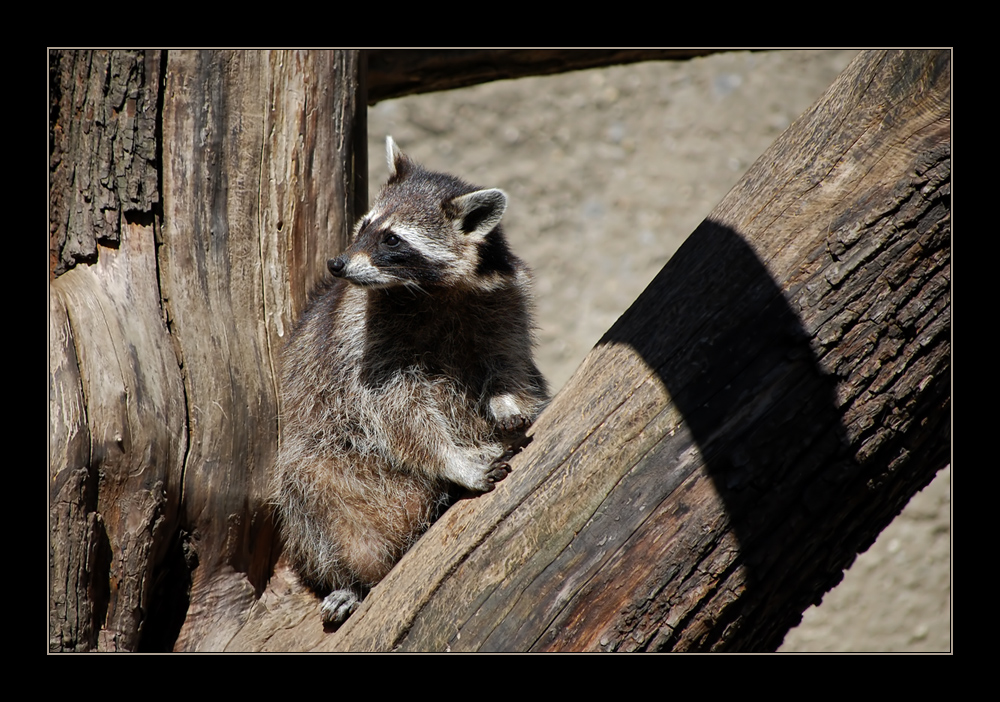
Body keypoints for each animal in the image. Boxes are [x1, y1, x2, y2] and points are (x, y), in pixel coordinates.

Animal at [274, 138, 548, 628]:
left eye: (392, 239)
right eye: (364, 225)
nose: (336, 263)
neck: (433, 291)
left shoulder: (505, 299)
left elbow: (511, 362)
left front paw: (508, 402)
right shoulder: (364, 335)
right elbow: (395, 409)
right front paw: (452, 459)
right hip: (331, 471)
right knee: (310, 492)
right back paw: (351, 578)